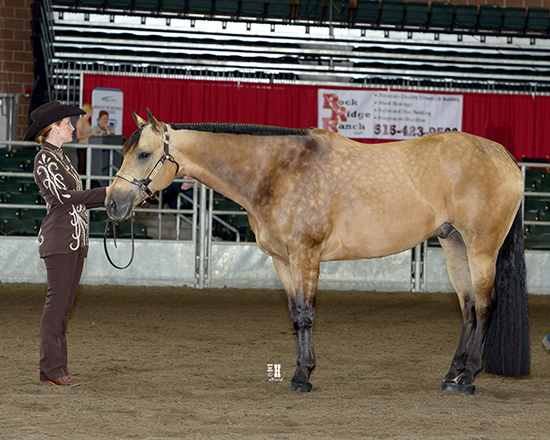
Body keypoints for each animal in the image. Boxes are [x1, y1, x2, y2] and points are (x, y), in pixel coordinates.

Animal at [104, 110, 532, 396]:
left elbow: (307, 314)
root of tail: (506, 157)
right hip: (453, 243)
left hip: (481, 247)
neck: (278, 171)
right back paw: (451, 376)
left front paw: (302, 378)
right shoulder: (282, 261)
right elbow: (295, 316)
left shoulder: (305, 256)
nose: (112, 204)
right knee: (468, 308)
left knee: (485, 305)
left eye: (143, 154)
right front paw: (301, 371)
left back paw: (469, 379)